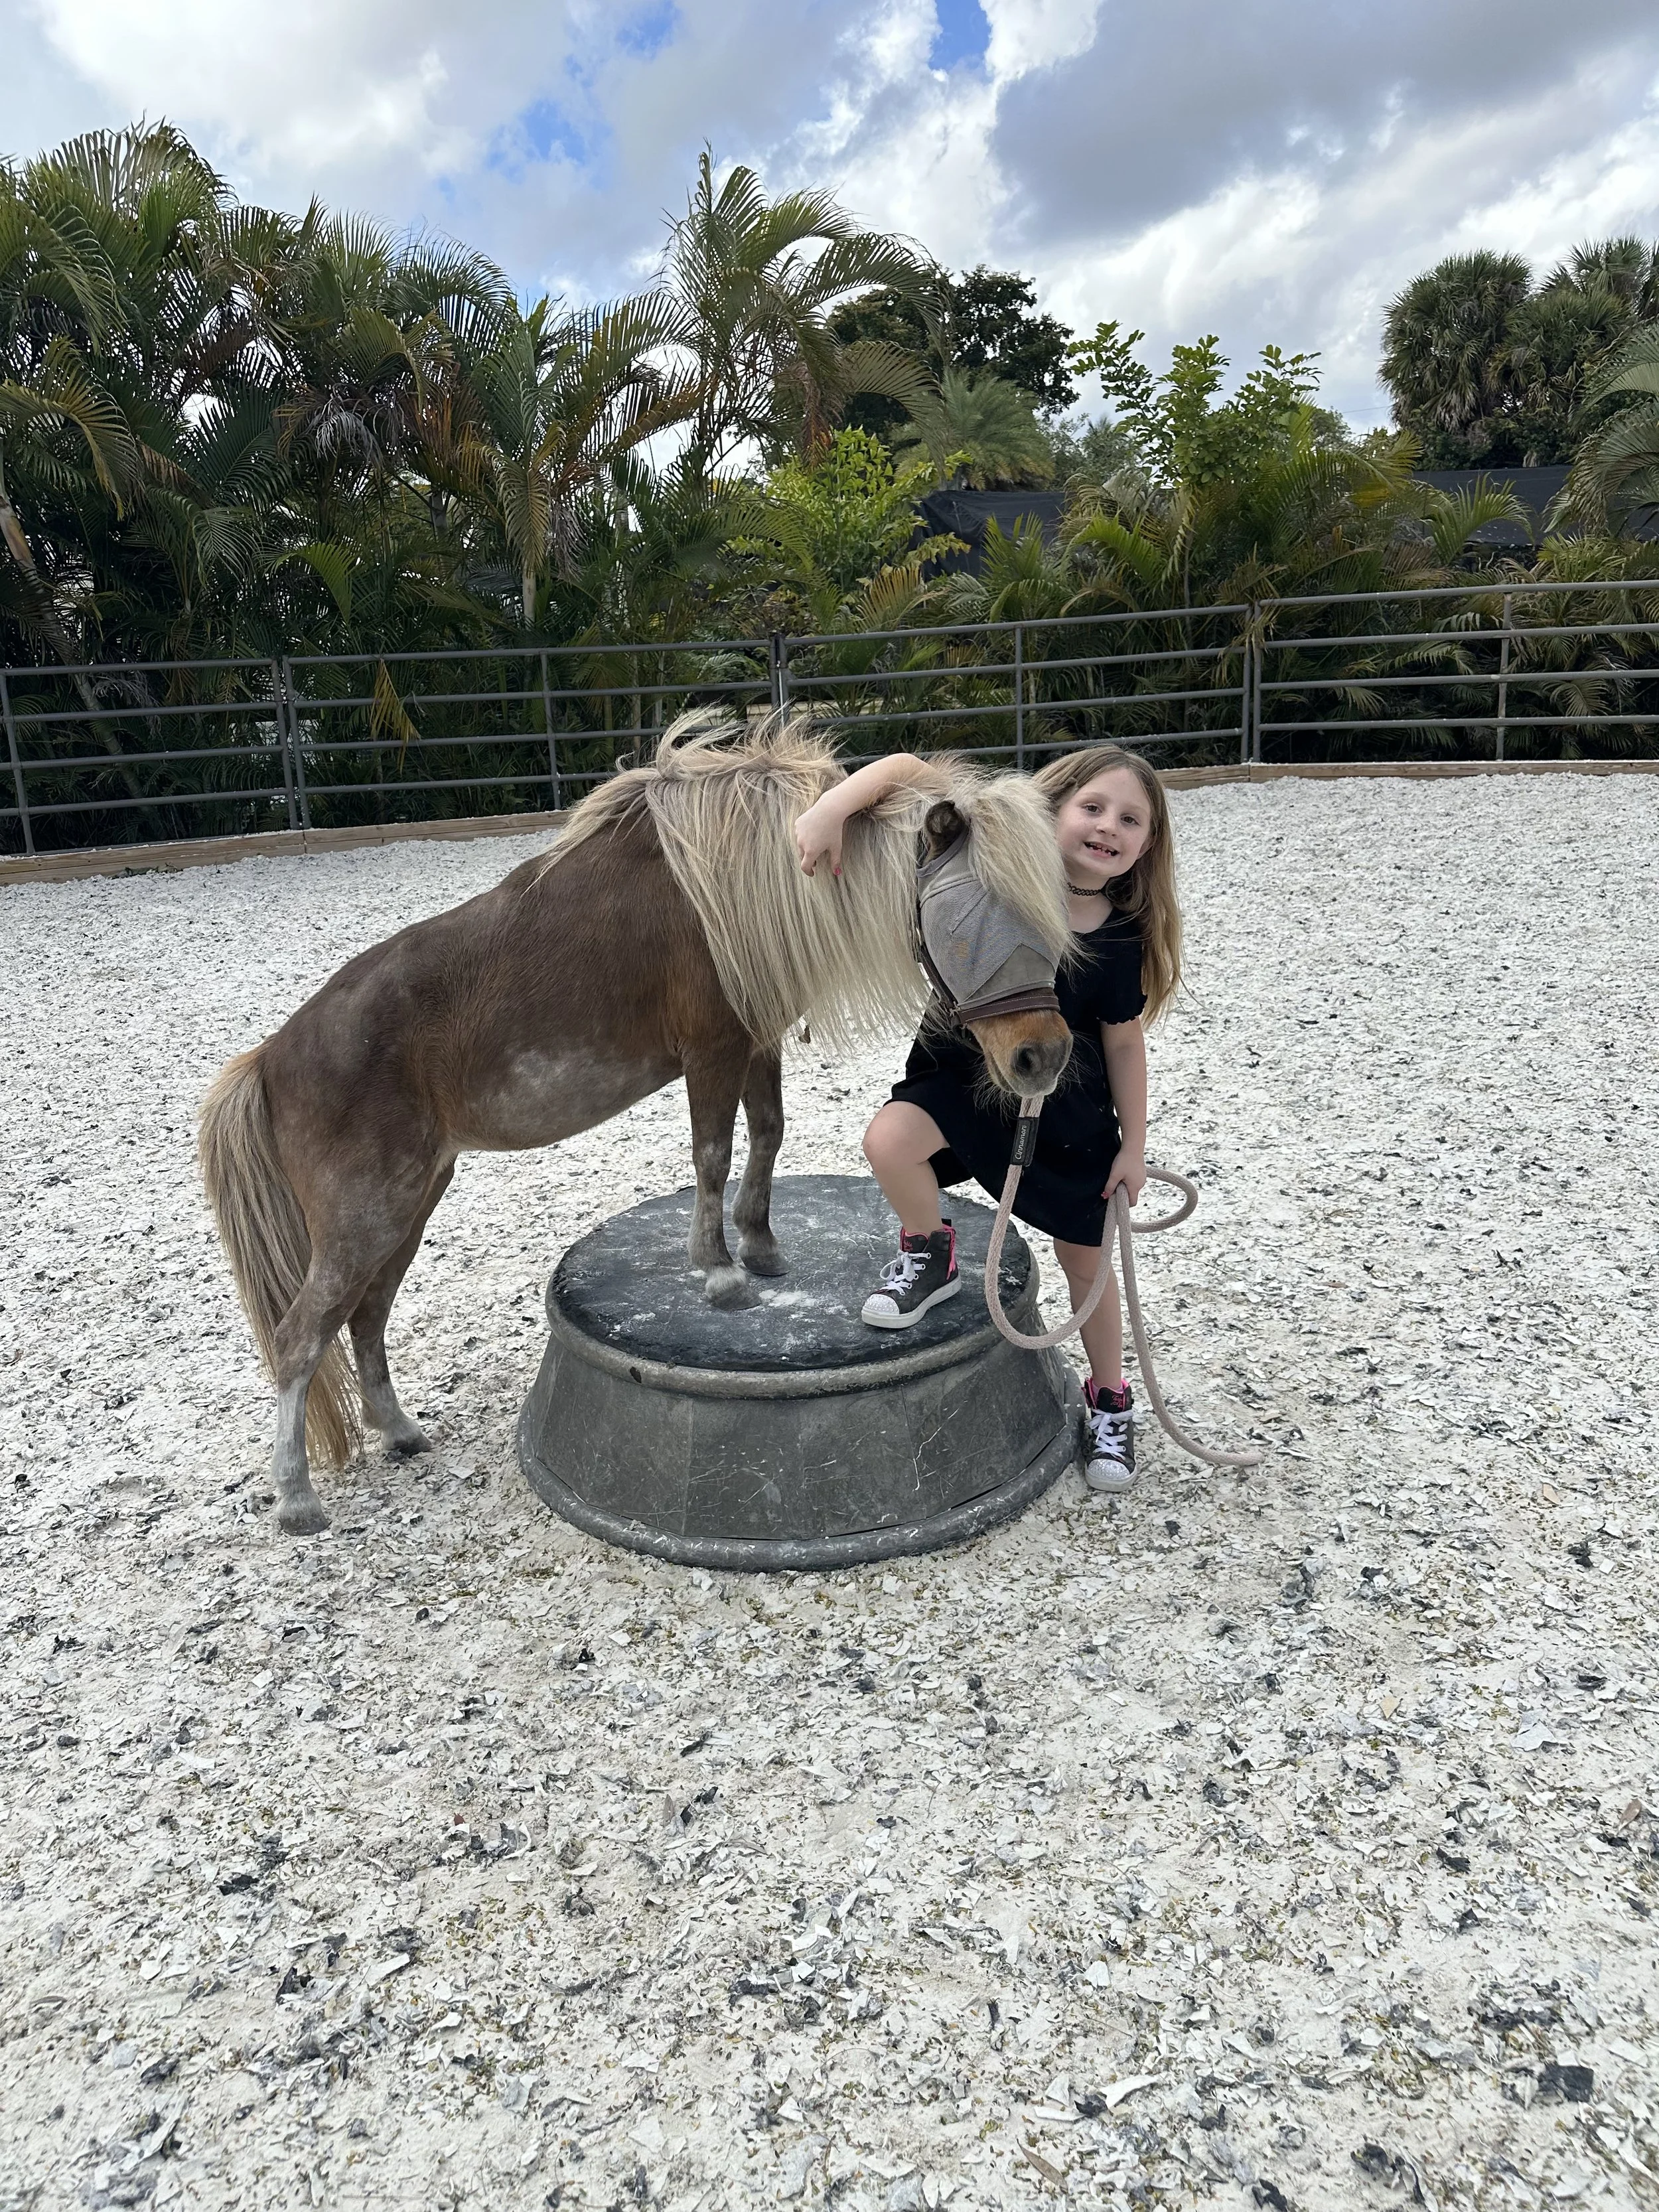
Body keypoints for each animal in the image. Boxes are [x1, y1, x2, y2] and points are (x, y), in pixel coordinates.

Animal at [198, 712, 1075, 1536]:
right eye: (963, 920)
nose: (1044, 1057)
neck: (737, 884)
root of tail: (270, 1058)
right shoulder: (713, 1050)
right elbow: (713, 1153)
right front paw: (719, 1271)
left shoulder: (752, 1043)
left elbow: (766, 1134)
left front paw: (759, 1247)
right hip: (366, 1216)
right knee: (300, 1338)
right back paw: (297, 1499)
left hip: (407, 1206)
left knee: (366, 1317)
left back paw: (400, 1433)